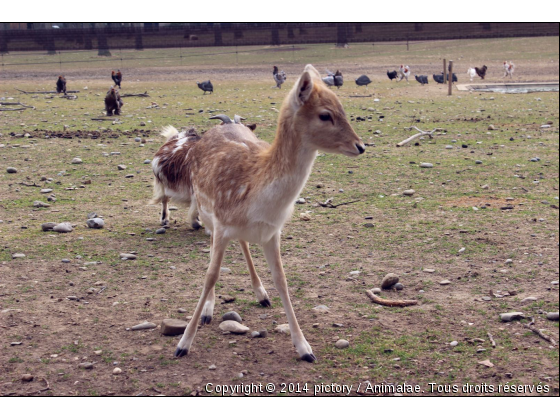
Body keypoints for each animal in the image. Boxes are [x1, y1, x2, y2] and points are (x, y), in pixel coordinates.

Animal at [151, 64, 366, 362]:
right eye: (325, 114)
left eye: (342, 107)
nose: (360, 146)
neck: (258, 196)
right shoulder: (220, 224)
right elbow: (210, 275)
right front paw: (183, 343)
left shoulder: (272, 232)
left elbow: (282, 280)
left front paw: (305, 348)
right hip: (205, 211)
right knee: (214, 252)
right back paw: (208, 310)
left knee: (242, 243)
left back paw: (261, 294)